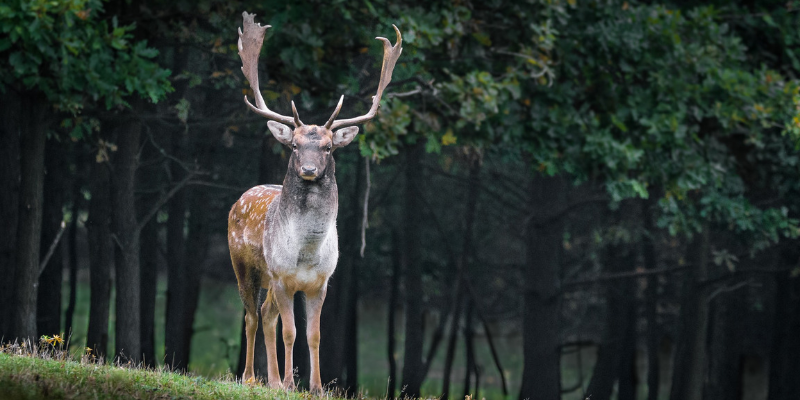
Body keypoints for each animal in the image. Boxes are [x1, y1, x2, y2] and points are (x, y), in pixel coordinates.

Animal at [228, 11, 404, 394]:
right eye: (294, 145)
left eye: (328, 147)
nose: (308, 169)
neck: (306, 253)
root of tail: (239, 199)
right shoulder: (282, 277)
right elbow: (291, 332)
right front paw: (290, 384)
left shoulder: (321, 283)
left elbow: (314, 335)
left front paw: (317, 387)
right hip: (244, 266)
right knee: (251, 316)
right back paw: (251, 377)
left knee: (265, 314)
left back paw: (272, 380)